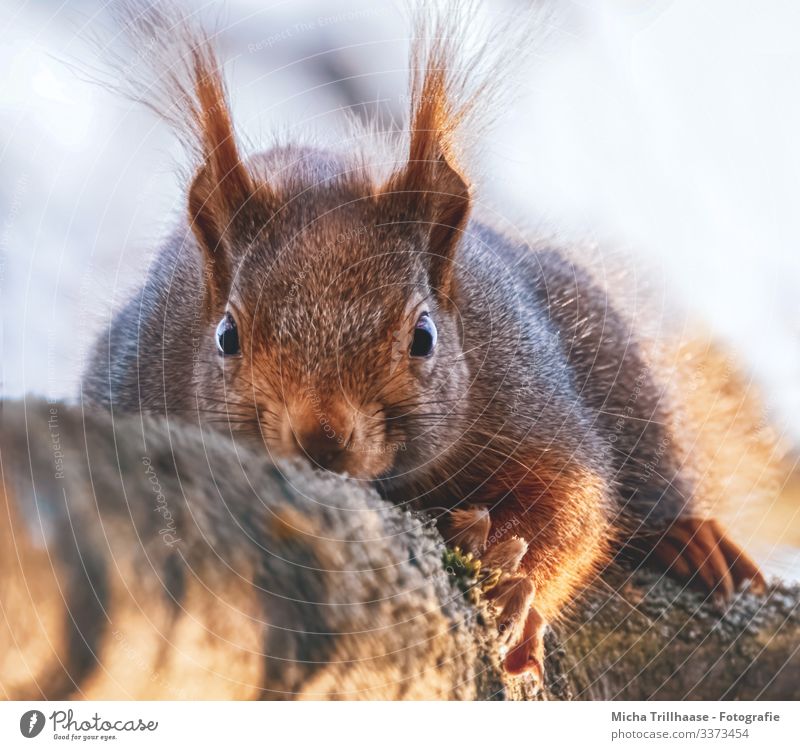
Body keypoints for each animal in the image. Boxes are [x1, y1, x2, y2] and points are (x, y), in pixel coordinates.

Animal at [84, 4, 780, 688]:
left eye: (424, 337)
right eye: (227, 336)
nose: (321, 439)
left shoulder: (526, 388)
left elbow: (573, 504)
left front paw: (513, 591)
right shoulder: (135, 372)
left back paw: (686, 537)